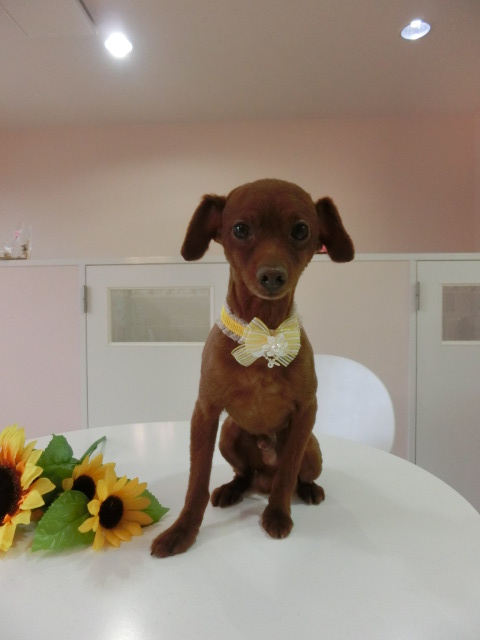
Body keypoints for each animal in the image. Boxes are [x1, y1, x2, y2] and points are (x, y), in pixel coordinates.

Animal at [151, 178, 354, 557]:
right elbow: (196, 482)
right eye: (240, 229)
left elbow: (288, 471)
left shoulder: (306, 411)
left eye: (301, 230)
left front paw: (277, 514)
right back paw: (233, 489)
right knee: (243, 474)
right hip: (229, 434)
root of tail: (262, 479)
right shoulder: (206, 412)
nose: (272, 276)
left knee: (296, 475)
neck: (265, 336)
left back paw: (307, 490)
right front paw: (182, 531)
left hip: (312, 447)